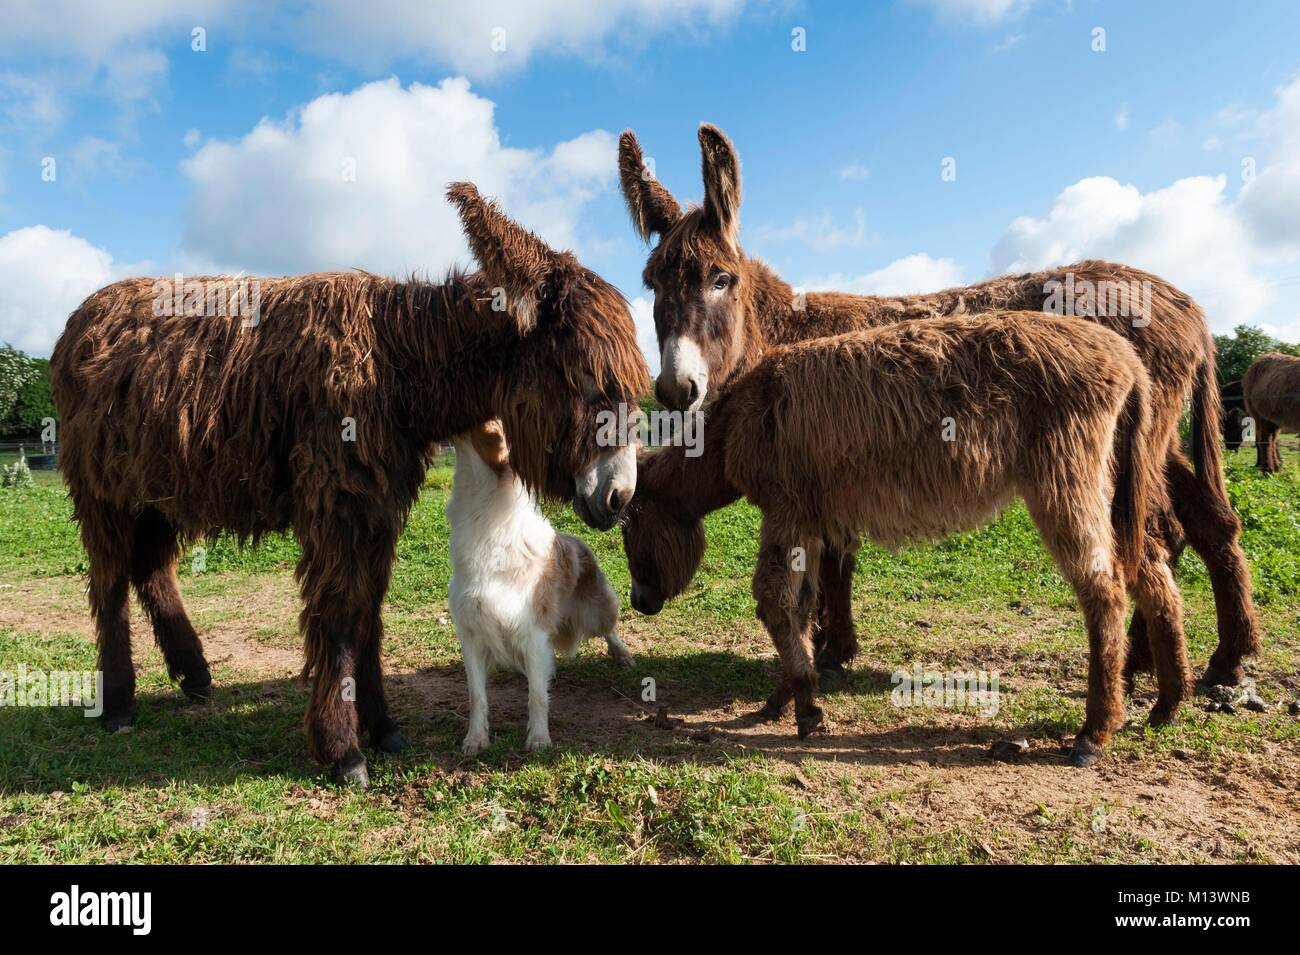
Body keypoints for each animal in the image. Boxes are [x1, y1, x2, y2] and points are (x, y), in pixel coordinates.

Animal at [447, 420, 634, 753]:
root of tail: (577, 540)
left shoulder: (532, 632)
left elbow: (536, 695)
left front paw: (538, 738)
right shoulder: (471, 634)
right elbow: (477, 696)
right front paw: (476, 738)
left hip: (594, 610)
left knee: (609, 627)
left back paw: (621, 654)